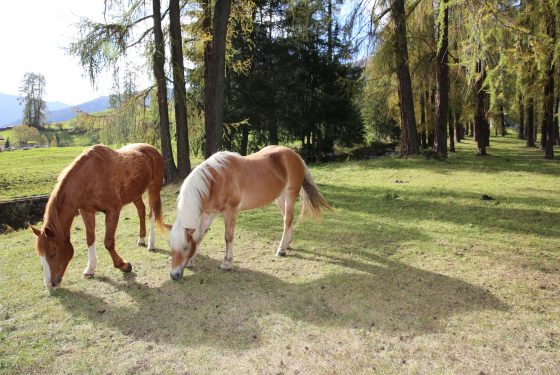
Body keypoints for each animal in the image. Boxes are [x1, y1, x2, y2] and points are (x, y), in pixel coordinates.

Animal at [31, 144, 165, 290]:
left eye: (53, 253)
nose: (49, 284)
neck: (90, 178)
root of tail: (152, 148)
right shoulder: (87, 211)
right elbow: (90, 239)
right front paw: (90, 269)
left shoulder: (113, 211)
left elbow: (108, 242)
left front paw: (123, 265)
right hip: (136, 193)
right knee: (141, 211)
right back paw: (141, 239)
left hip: (153, 187)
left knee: (152, 215)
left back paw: (151, 244)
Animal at [168, 145, 330, 280]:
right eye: (171, 247)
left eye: (185, 247)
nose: (174, 275)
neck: (214, 181)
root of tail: (295, 155)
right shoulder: (209, 213)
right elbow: (199, 236)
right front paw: (191, 261)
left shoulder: (230, 211)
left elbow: (228, 237)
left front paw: (227, 264)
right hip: (280, 197)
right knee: (287, 219)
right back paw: (287, 244)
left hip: (290, 195)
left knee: (288, 219)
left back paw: (281, 250)